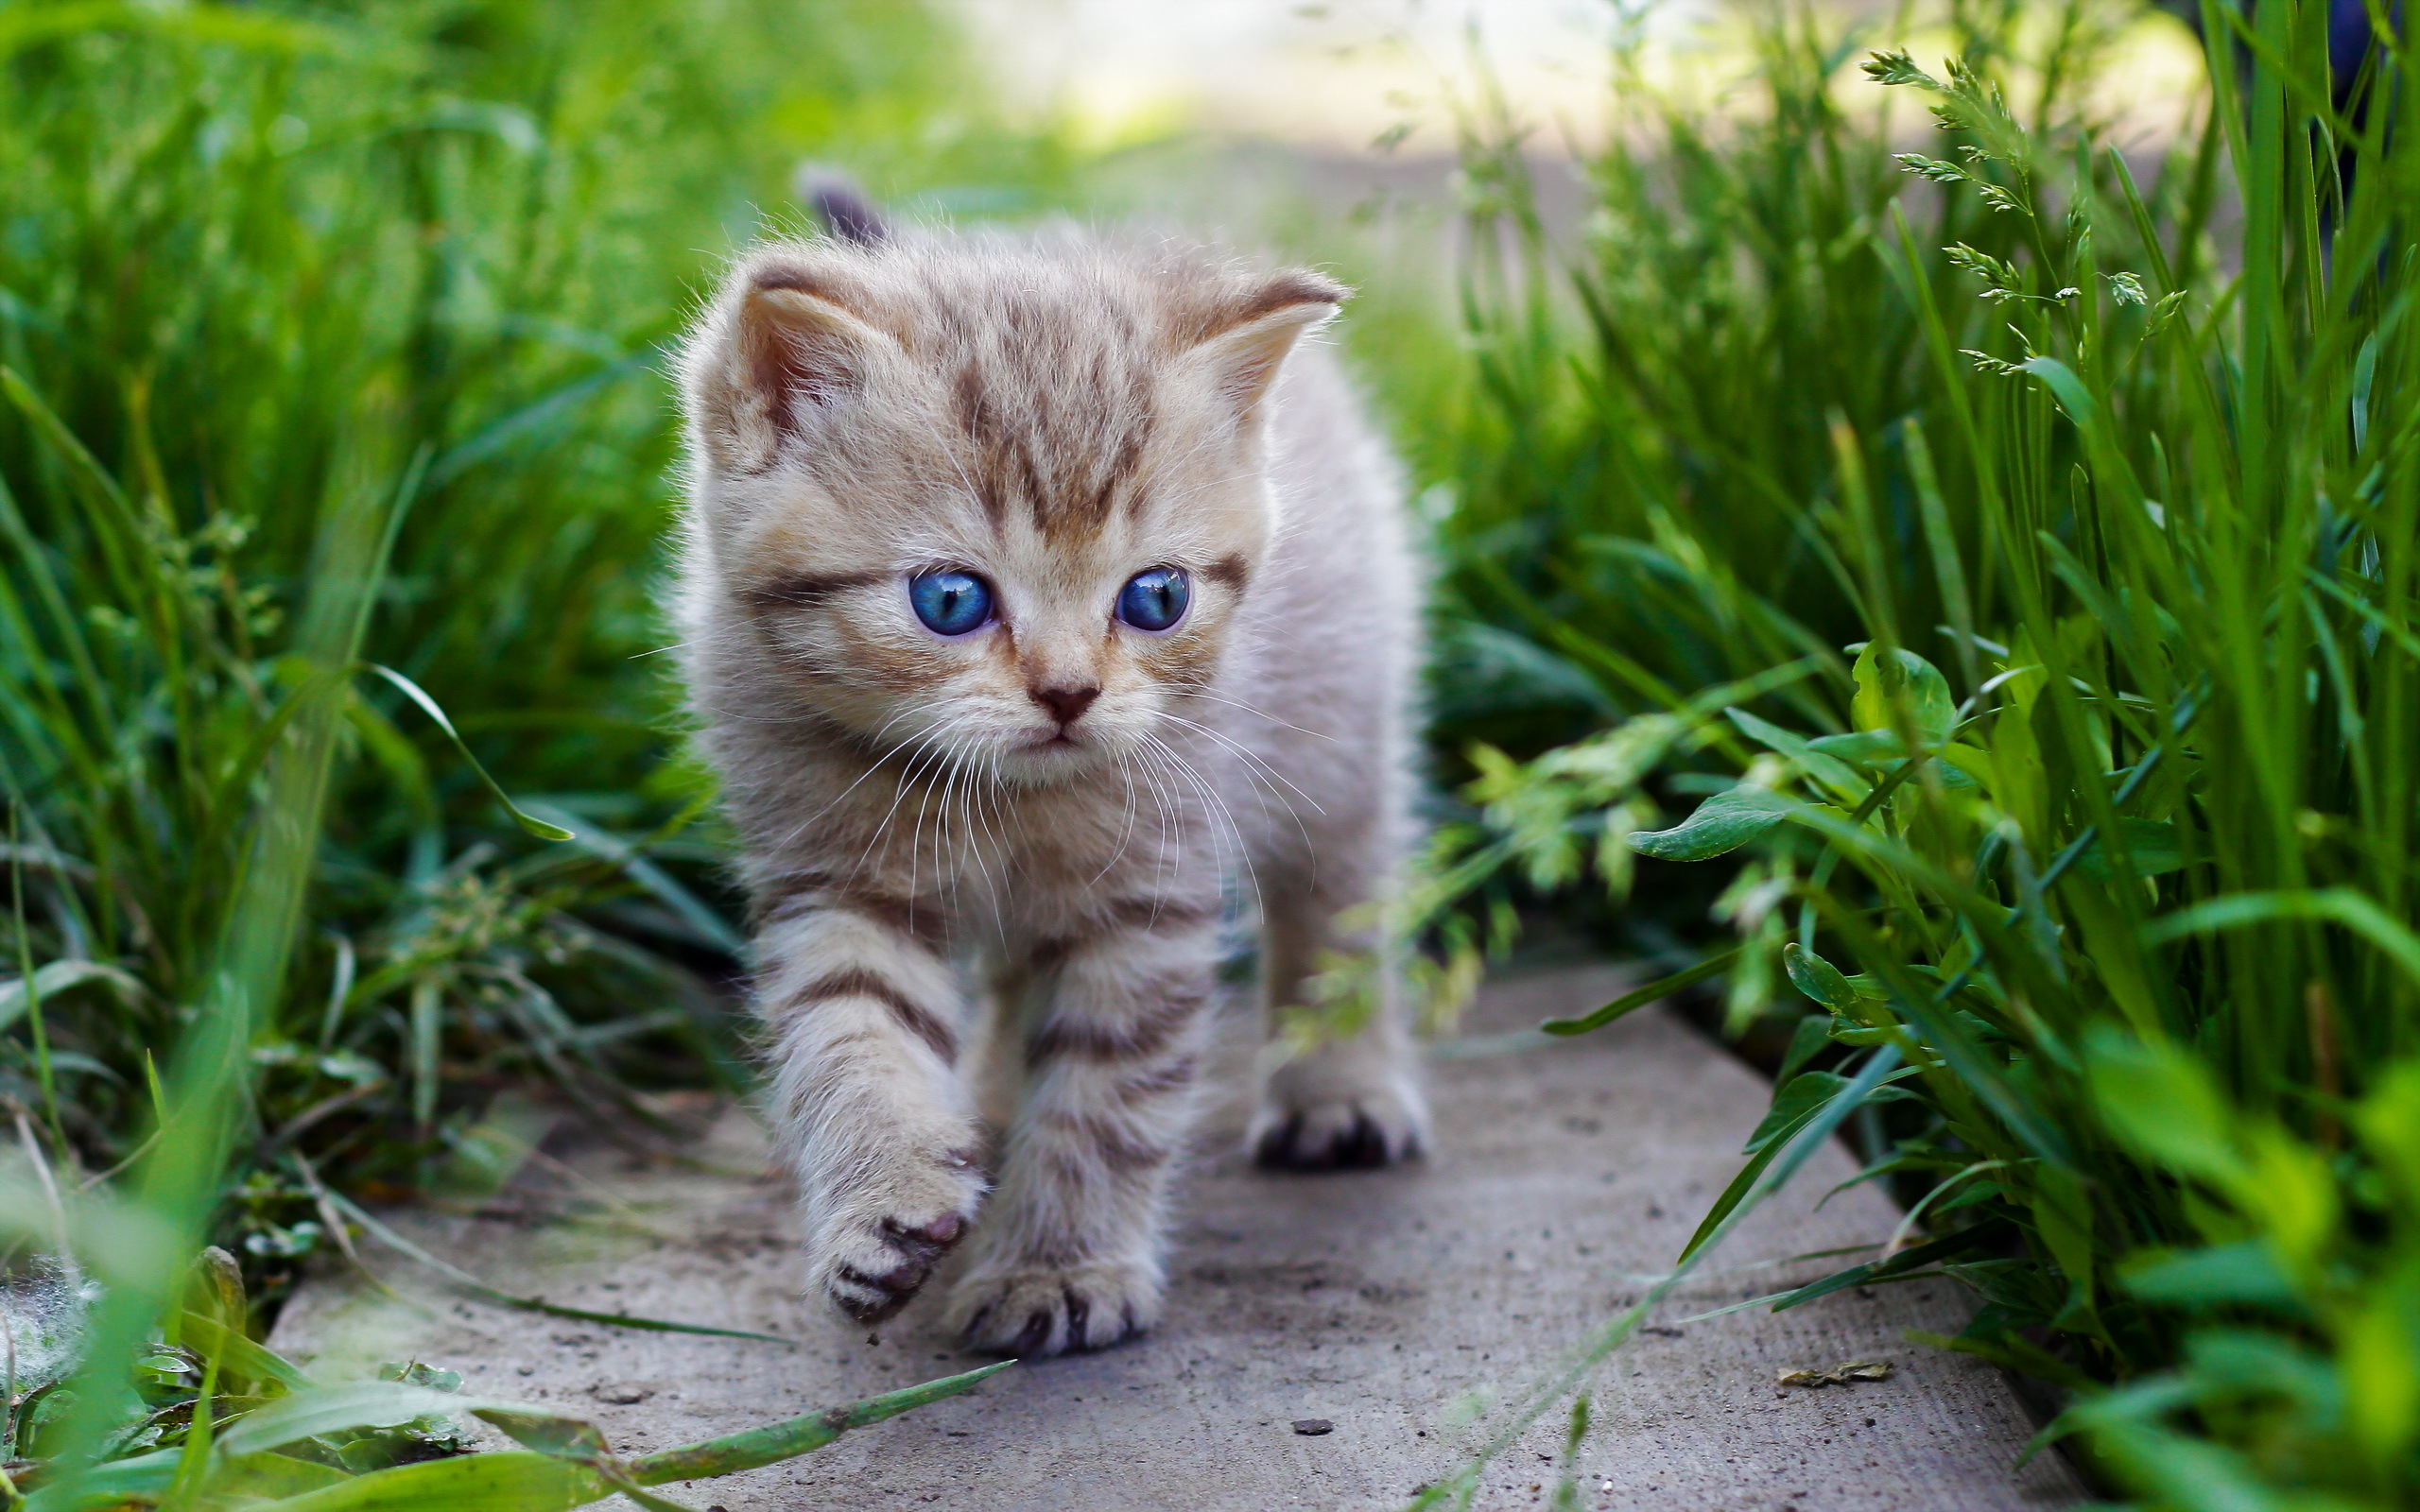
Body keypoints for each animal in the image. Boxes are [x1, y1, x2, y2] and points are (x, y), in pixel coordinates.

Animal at [672, 223, 1423, 1354]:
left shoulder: (1147, 898)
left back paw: (1339, 1086)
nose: (1070, 693)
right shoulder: (831, 881)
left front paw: (1057, 1267)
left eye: (1156, 597)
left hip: (1338, 742)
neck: (994, 803)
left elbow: (1105, 1094)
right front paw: (886, 1198)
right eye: (949, 599)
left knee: (1336, 902)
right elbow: (855, 1038)